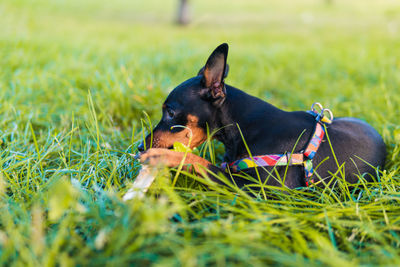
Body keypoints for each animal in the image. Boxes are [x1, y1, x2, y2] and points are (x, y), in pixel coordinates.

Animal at [137, 44, 384, 191]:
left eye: (170, 113)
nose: (140, 146)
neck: (244, 125)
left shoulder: (252, 188)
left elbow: (199, 161)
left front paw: (160, 156)